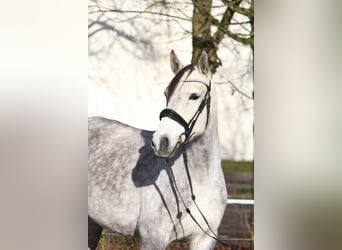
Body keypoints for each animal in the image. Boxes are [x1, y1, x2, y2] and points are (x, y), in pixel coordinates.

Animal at [88, 49, 227, 249]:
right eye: (166, 93)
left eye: (194, 96)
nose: (161, 141)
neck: (201, 179)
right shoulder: (153, 238)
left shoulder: (204, 239)